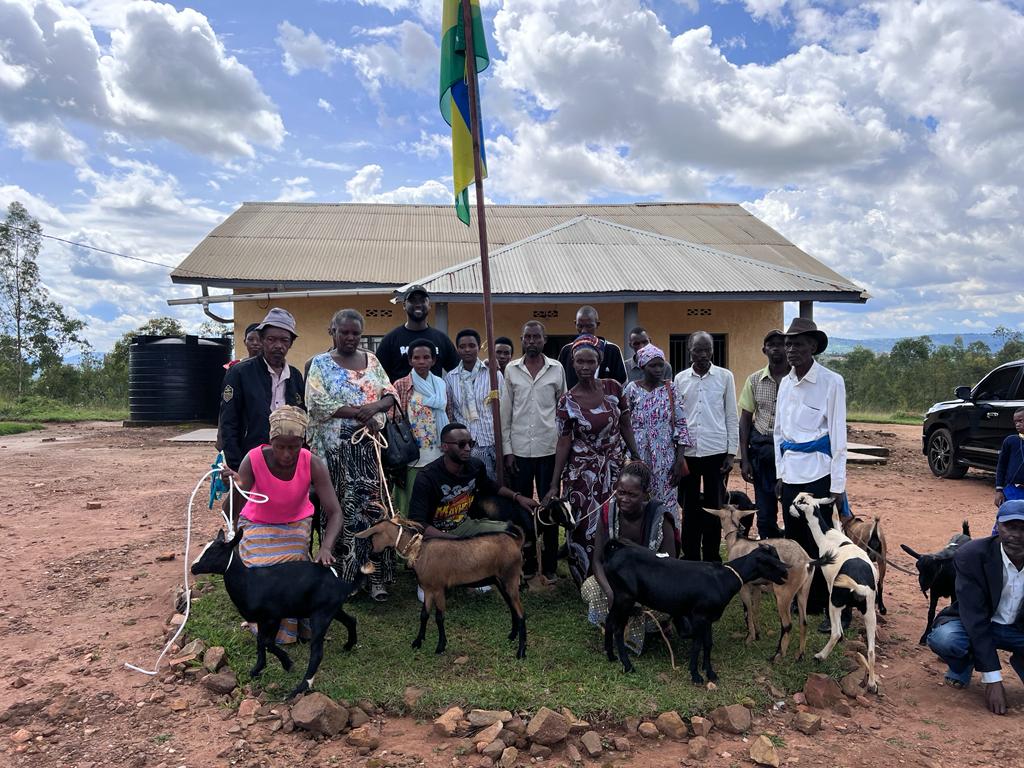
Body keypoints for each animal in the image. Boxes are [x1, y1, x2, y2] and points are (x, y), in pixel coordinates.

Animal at [191, 529, 361, 699]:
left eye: (214, 552)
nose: (193, 568)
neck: (248, 582)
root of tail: (341, 584)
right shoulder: (261, 620)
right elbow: (260, 641)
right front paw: (256, 670)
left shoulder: (273, 617)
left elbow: (268, 643)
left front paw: (288, 664)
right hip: (331, 609)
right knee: (351, 620)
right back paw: (348, 646)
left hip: (321, 615)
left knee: (317, 652)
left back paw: (300, 688)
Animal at [355, 518, 527, 658]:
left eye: (372, 537)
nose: (371, 556)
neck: (419, 550)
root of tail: (516, 541)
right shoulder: (428, 589)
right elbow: (424, 615)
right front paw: (418, 641)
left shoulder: (438, 589)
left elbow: (439, 617)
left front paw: (440, 646)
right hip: (501, 581)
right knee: (513, 608)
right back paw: (512, 637)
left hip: (511, 579)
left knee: (521, 613)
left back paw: (521, 652)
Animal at [602, 539, 790, 682]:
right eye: (771, 562)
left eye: (777, 557)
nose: (787, 572)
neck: (723, 578)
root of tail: (615, 551)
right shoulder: (699, 616)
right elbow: (697, 644)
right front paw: (695, 675)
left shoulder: (709, 618)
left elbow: (708, 643)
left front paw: (709, 672)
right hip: (625, 598)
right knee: (618, 629)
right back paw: (628, 665)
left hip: (619, 598)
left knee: (609, 622)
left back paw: (611, 656)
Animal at [707, 504, 835, 662]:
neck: (737, 542)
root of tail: (807, 560)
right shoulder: (756, 586)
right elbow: (755, 609)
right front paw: (757, 634)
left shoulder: (744, 586)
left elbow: (748, 611)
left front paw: (749, 638)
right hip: (803, 590)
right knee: (803, 622)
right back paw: (799, 655)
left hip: (783, 593)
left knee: (787, 624)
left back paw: (778, 656)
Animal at [788, 493, 879, 692]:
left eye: (796, 502)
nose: (789, 510)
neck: (828, 537)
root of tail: (860, 587)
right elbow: (836, 517)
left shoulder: (830, 584)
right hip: (869, 612)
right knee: (871, 649)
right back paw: (871, 683)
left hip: (835, 601)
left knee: (836, 633)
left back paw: (820, 656)